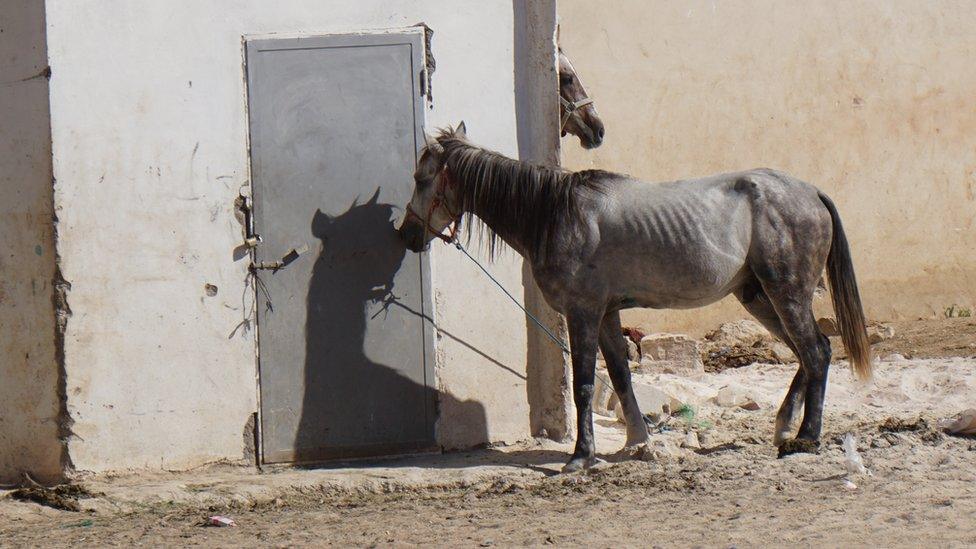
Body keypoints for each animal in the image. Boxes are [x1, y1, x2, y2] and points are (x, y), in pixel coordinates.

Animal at [400, 123, 872, 470]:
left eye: (421, 179)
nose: (405, 234)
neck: (556, 215)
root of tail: (810, 191)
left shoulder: (583, 313)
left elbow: (585, 385)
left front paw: (581, 457)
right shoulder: (607, 314)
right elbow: (621, 376)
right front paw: (638, 442)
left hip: (785, 292)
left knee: (815, 352)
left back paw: (806, 438)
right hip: (758, 297)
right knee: (811, 353)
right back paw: (784, 427)